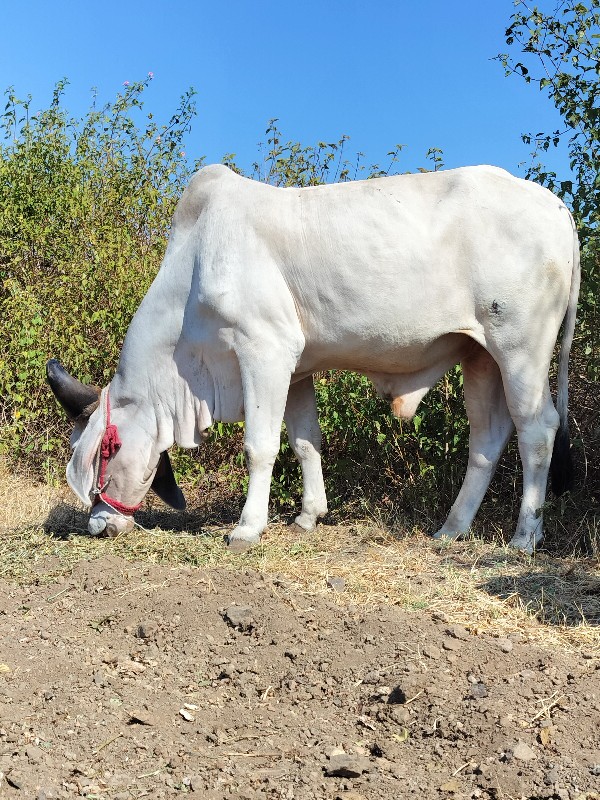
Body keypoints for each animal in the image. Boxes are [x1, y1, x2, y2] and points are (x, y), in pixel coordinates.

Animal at [48, 162, 580, 552]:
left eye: (107, 449)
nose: (98, 525)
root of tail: (557, 206)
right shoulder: (297, 368)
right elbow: (306, 442)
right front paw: (309, 515)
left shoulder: (263, 347)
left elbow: (261, 446)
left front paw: (247, 528)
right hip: (480, 355)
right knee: (487, 439)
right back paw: (451, 529)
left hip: (521, 348)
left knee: (537, 431)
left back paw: (525, 537)